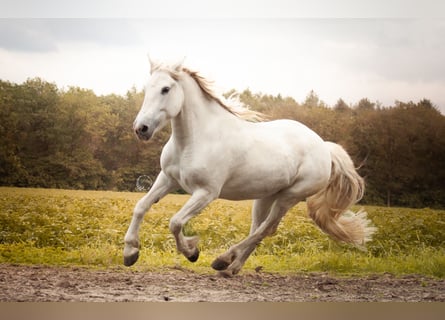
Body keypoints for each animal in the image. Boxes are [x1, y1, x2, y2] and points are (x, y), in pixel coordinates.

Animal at [124, 58, 374, 276]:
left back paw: (223, 259)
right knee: (259, 228)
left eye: (165, 89)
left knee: (266, 228)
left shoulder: (206, 192)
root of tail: (325, 148)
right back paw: (232, 268)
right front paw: (130, 253)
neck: (194, 139)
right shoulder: (167, 178)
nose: (141, 128)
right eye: (147, 88)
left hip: (290, 196)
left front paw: (192, 252)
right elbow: (140, 206)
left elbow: (175, 222)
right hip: (266, 196)